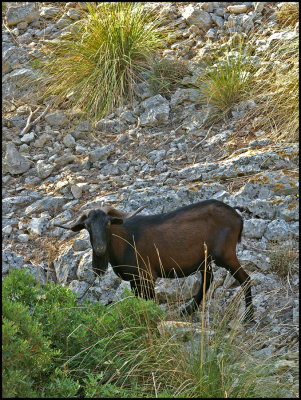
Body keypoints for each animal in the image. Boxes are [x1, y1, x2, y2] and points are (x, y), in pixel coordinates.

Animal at [54, 200, 253, 322]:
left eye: (108, 223)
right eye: (87, 226)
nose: (100, 248)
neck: (126, 242)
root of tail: (238, 218)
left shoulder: (147, 276)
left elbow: (150, 302)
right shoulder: (134, 280)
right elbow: (139, 302)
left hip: (225, 255)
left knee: (245, 279)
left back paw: (248, 318)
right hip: (205, 260)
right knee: (207, 281)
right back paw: (186, 311)